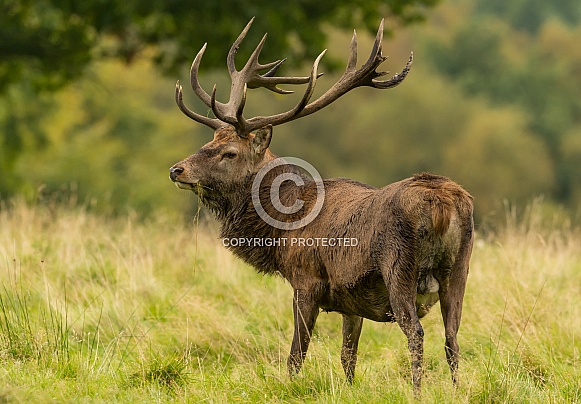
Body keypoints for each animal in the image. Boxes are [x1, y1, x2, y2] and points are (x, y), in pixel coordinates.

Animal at [168, 18, 472, 394]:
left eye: (229, 153)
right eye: (209, 141)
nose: (176, 169)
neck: (281, 231)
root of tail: (443, 202)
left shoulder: (306, 280)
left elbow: (296, 354)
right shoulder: (351, 299)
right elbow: (348, 355)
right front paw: (350, 389)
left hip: (399, 268)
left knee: (416, 332)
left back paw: (416, 392)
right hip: (459, 270)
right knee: (453, 337)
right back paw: (458, 389)